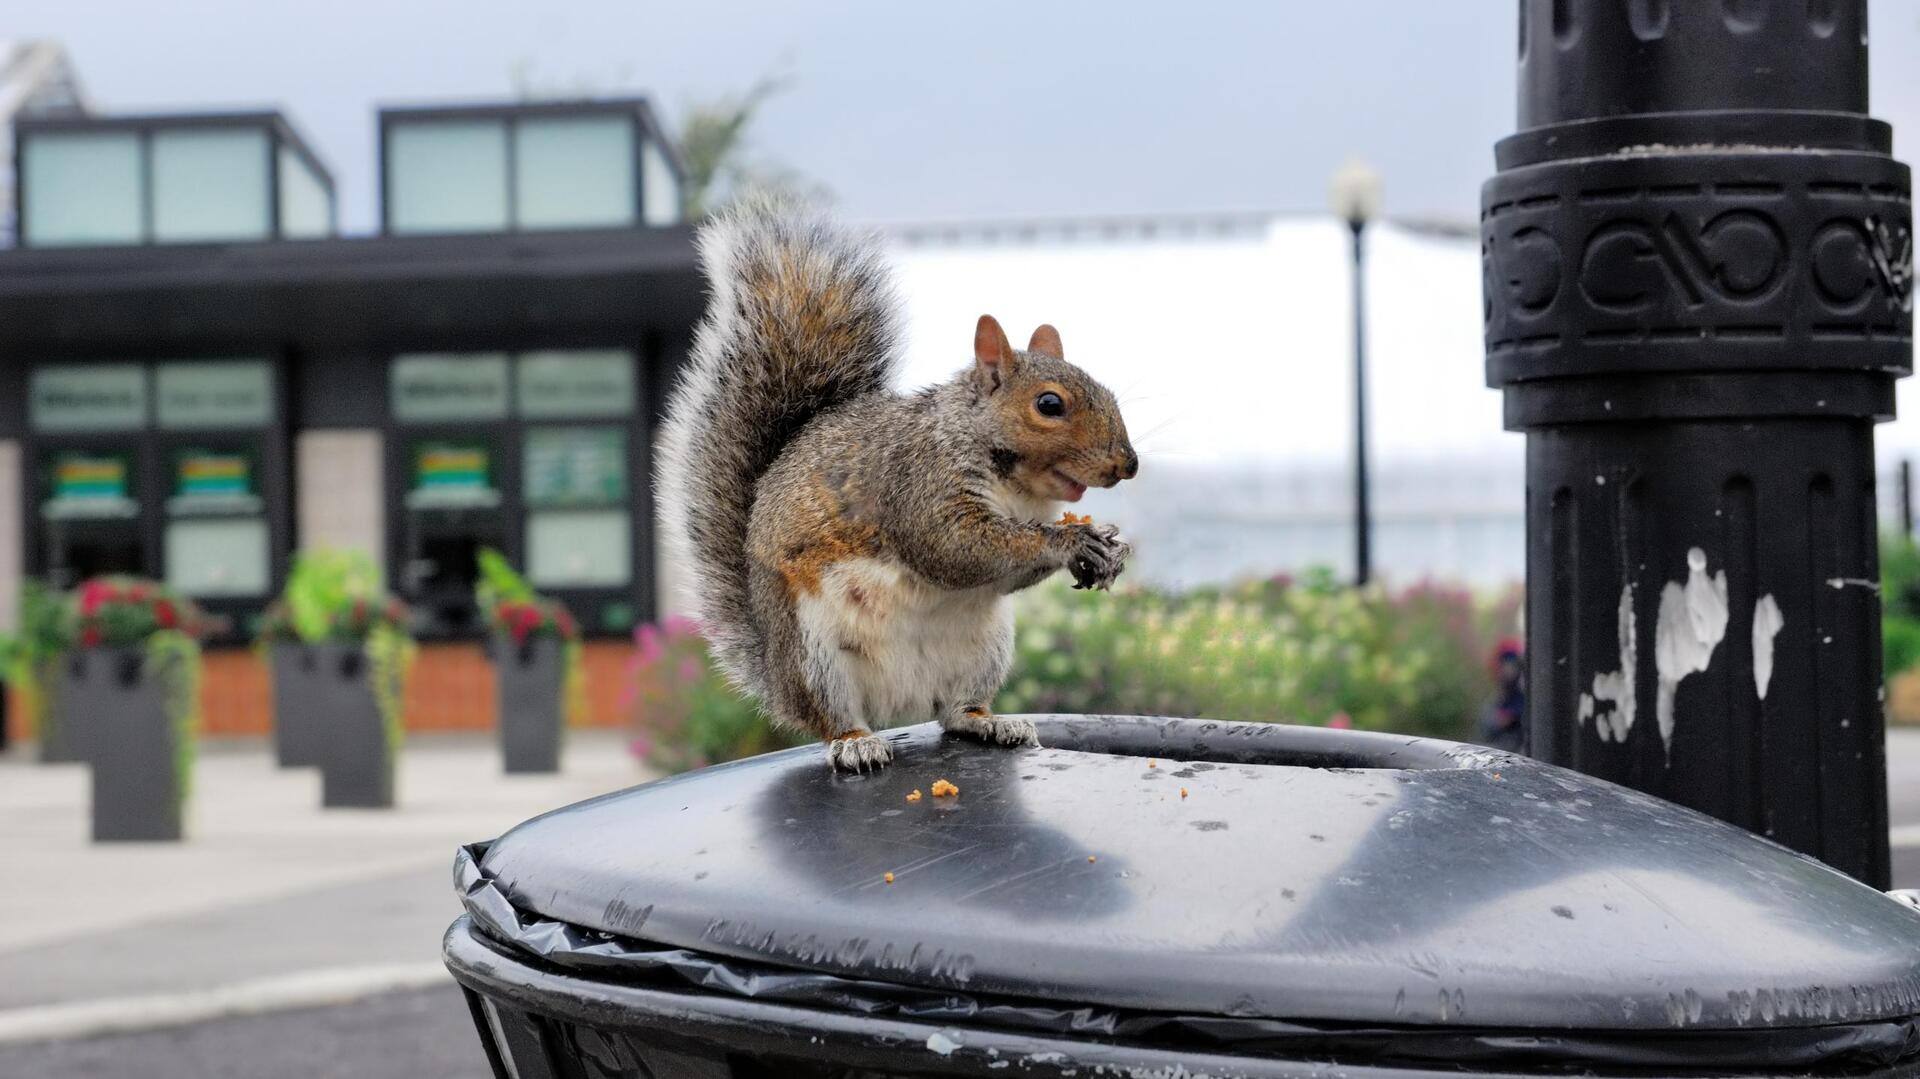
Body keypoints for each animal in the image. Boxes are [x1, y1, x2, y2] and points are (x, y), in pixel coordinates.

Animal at [660, 201, 1136, 767]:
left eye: (1108, 391)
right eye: (1049, 404)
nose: (1128, 464)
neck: (1014, 487)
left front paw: (1108, 546)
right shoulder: (919, 484)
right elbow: (954, 548)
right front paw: (1072, 541)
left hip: (984, 651)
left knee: (954, 712)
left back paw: (990, 722)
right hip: (814, 655)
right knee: (834, 718)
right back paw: (856, 744)